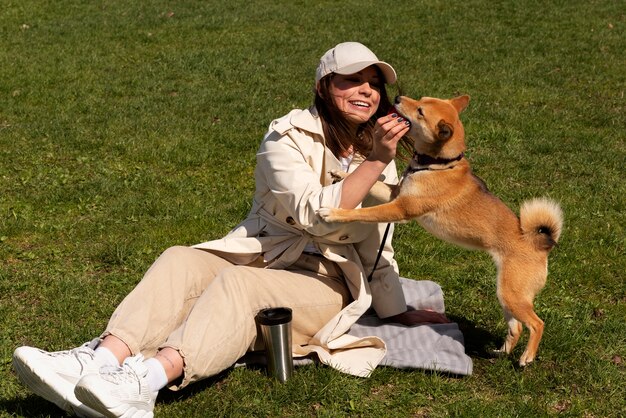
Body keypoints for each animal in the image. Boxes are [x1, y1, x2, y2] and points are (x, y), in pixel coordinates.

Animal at [320, 94, 564, 366]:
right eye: (421, 99)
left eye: (420, 111)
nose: (397, 97)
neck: (438, 165)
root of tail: (540, 244)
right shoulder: (395, 195)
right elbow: (374, 183)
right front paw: (341, 173)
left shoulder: (401, 209)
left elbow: (364, 213)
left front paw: (334, 213)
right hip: (506, 294)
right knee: (517, 327)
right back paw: (501, 352)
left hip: (513, 294)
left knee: (537, 323)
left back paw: (526, 357)